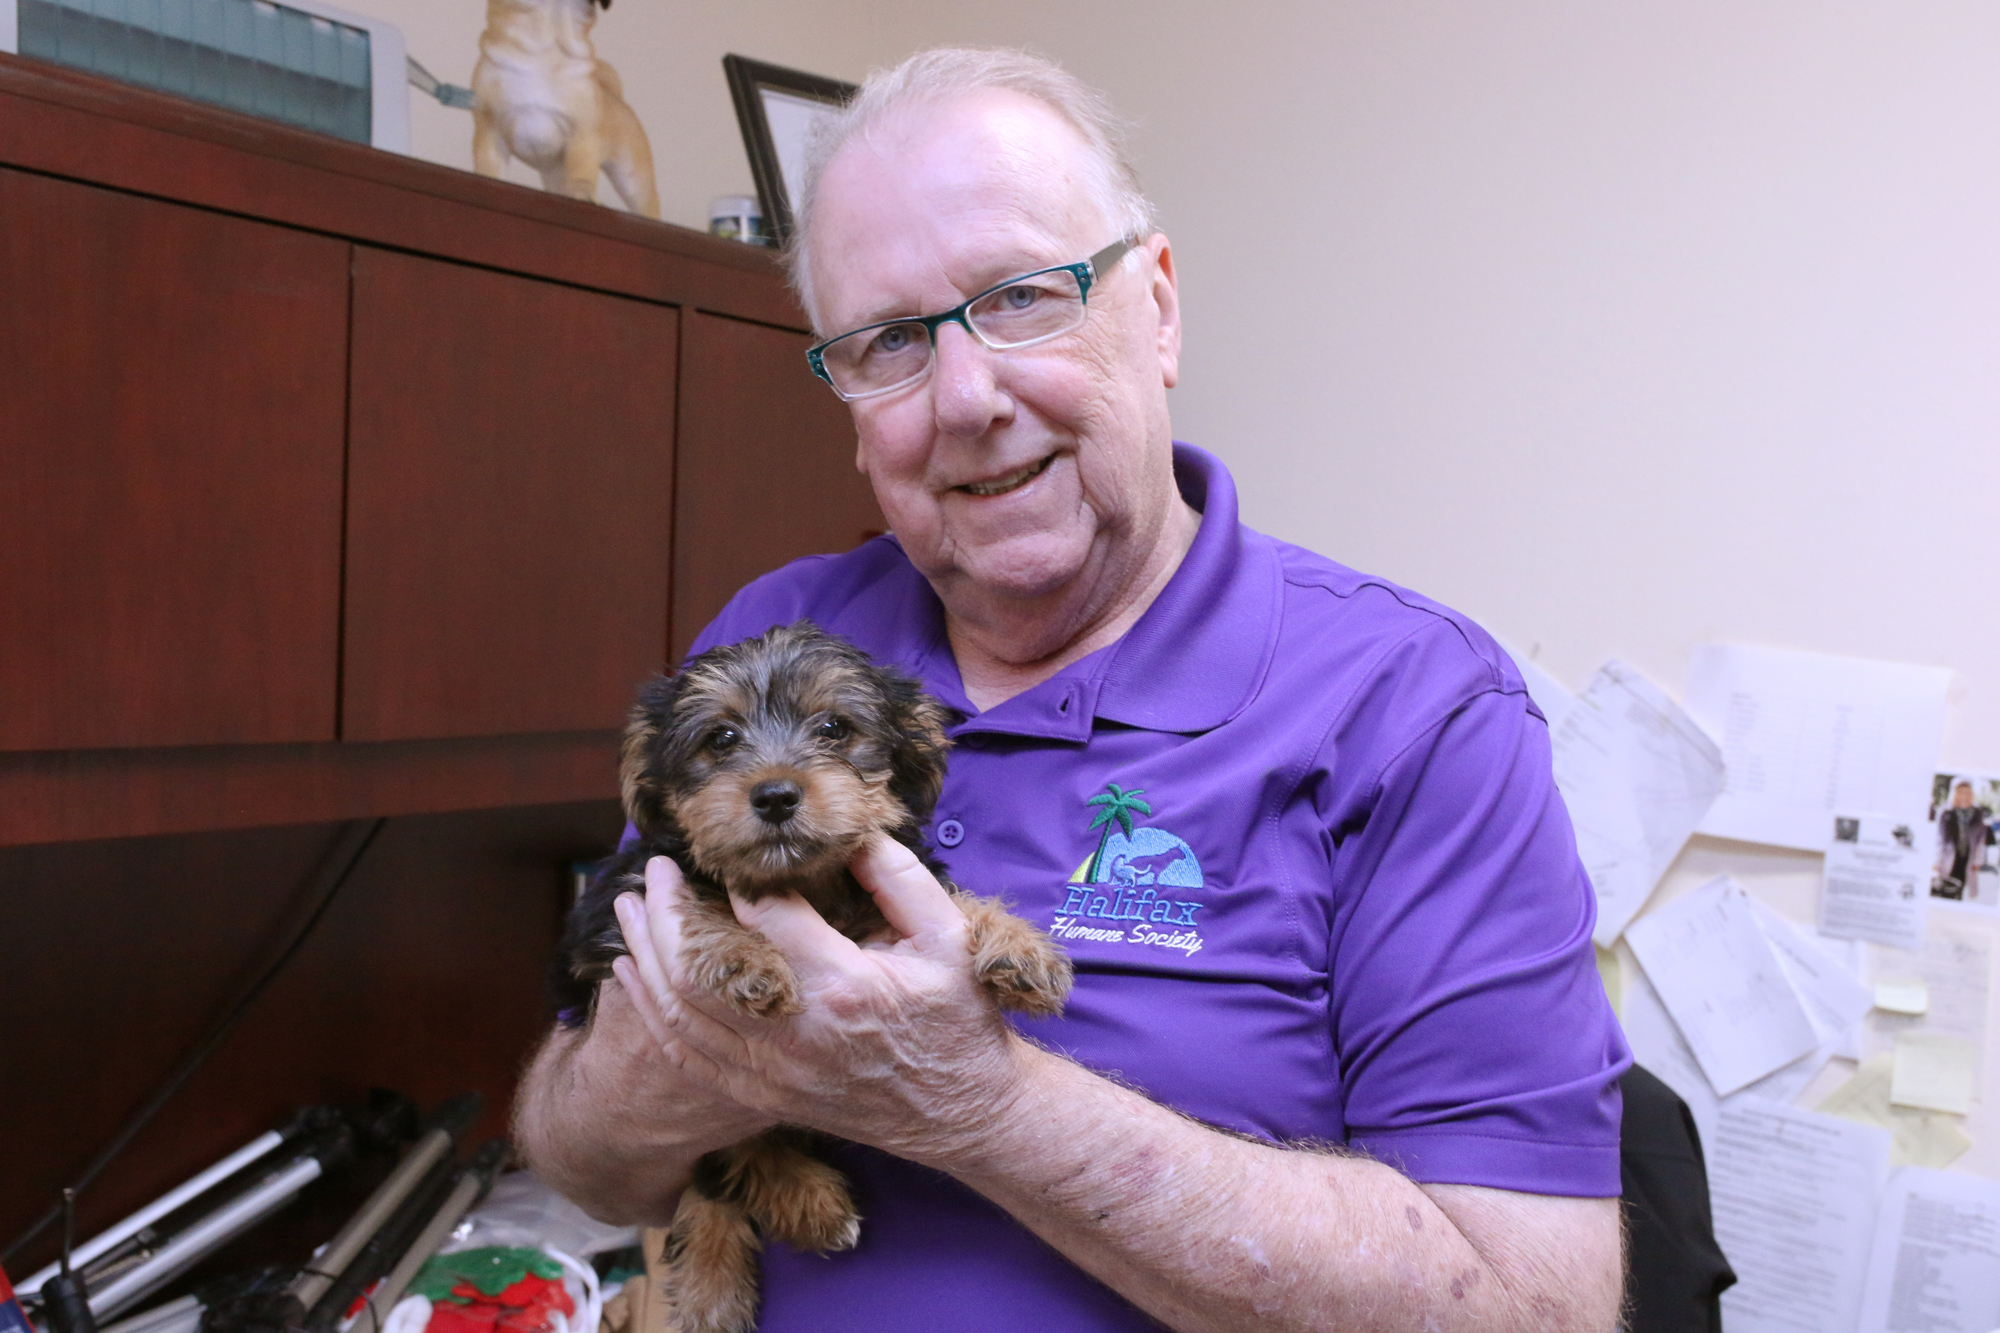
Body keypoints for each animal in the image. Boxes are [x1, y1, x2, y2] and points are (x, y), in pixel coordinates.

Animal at [470, 0, 660, 215]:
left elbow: (582, 172)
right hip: (556, 174)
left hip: (633, 178)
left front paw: (583, 195)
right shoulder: (490, 133)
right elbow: (488, 168)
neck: (545, 53)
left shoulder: (583, 136)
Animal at [556, 620, 1072, 1328]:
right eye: (721, 739)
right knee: (721, 1159)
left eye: (834, 728)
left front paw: (1018, 947)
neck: (806, 881)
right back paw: (780, 1225)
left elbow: (954, 900)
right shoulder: (616, 916)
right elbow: (700, 898)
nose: (775, 794)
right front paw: (744, 957)